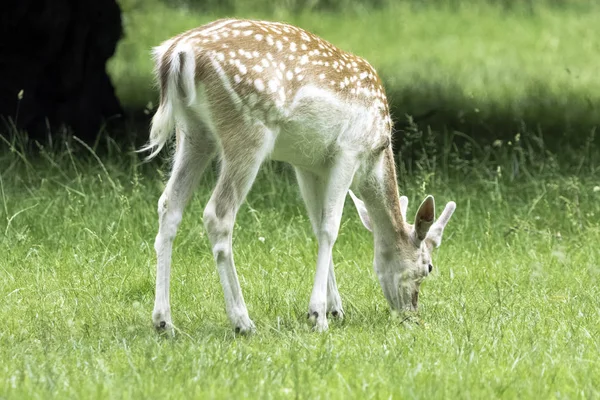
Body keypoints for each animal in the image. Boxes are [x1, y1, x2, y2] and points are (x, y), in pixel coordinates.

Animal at [141, 18, 458, 334]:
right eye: (428, 267)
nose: (411, 314)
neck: (376, 155)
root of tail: (177, 52)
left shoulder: (308, 164)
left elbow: (317, 225)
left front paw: (336, 310)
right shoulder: (349, 150)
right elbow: (331, 227)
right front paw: (318, 316)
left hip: (193, 132)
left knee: (168, 205)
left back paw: (163, 322)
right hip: (247, 128)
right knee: (217, 214)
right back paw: (243, 321)